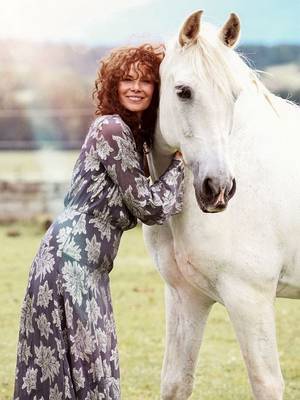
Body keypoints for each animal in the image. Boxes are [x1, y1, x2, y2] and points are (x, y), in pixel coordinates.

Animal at [142, 9, 300, 400]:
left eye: (234, 96)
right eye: (183, 92)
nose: (219, 188)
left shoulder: (250, 299)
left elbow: (266, 383)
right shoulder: (186, 297)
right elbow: (176, 382)